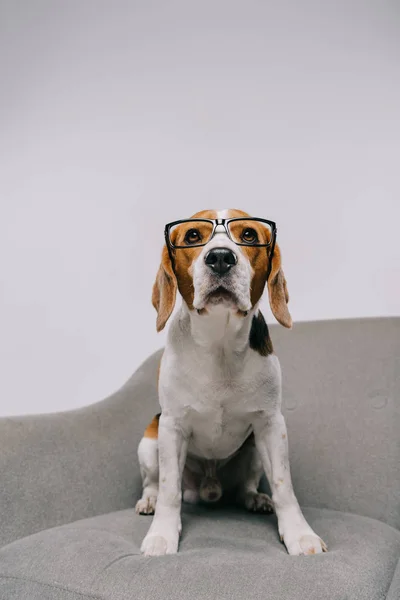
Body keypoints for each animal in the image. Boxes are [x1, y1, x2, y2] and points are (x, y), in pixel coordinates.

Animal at [136, 210, 326, 556]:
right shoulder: (172, 426)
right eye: (193, 236)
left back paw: (255, 498)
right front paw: (162, 536)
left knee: (245, 487)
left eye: (249, 235)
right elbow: (170, 489)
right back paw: (149, 500)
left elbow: (284, 486)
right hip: (150, 439)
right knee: (154, 481)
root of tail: (209, 487)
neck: (219, 344)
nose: (221, 258)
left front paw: (299, 534)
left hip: (253, 450)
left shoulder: (271, 425)